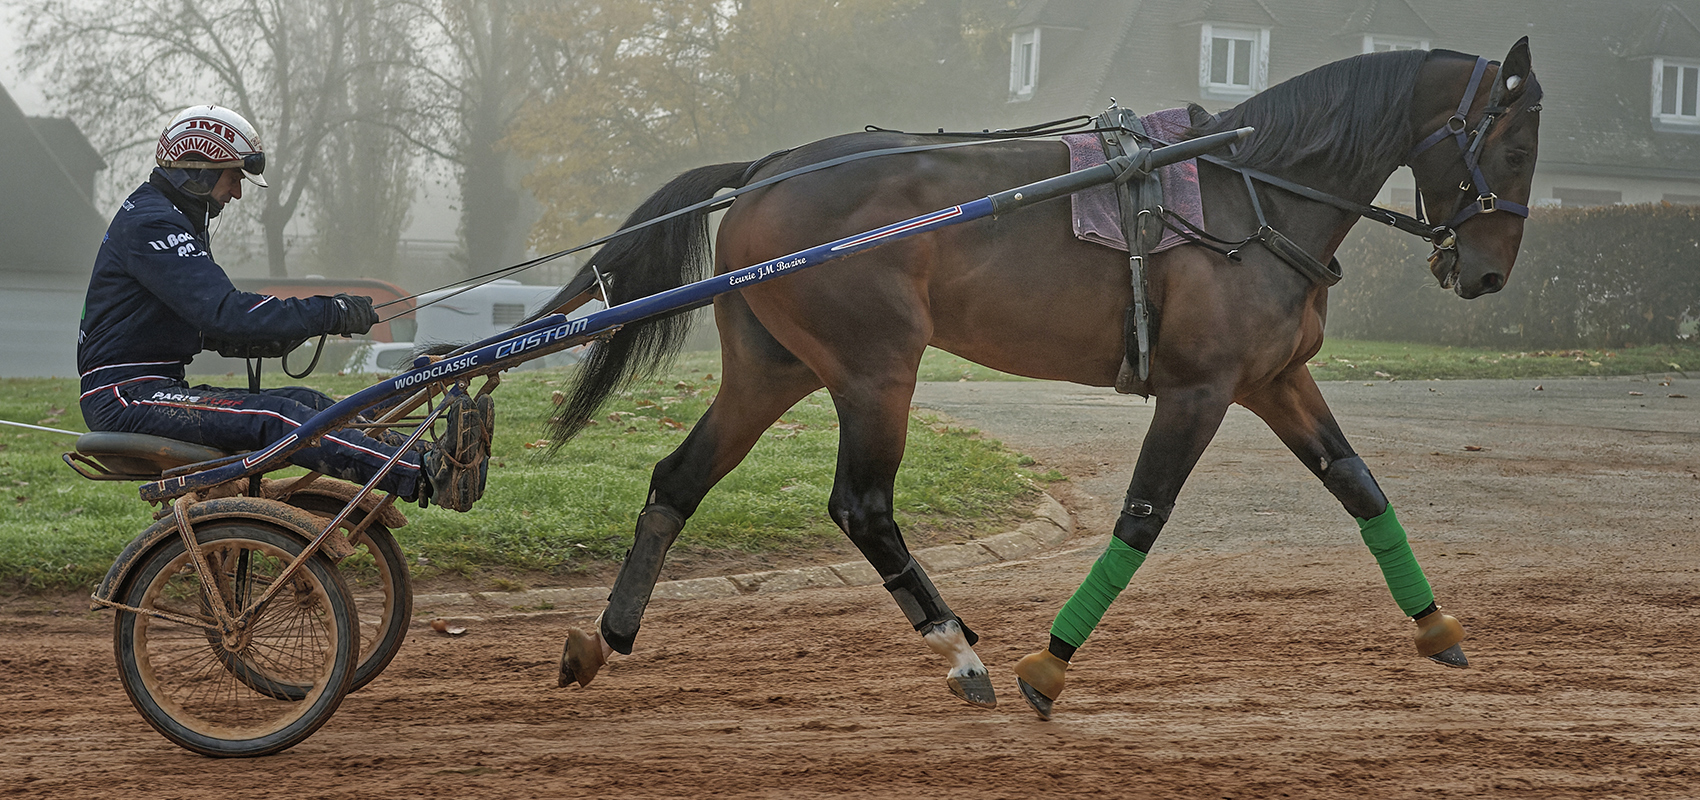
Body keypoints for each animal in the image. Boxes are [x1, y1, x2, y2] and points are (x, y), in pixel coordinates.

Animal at [540, 39, 1543, 720]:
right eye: (1517, 149)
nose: (1491, 275)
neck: (1245, 187)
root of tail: (764, 171)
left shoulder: (1275, 381)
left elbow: (1360, 488)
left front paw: (1436, 627)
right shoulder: (1199, 390)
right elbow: (1142, 518)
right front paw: (1049, 663)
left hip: (772, 369)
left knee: (677, 482)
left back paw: (608, 636)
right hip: (876, 370)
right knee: (862, 507)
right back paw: (956, 648)